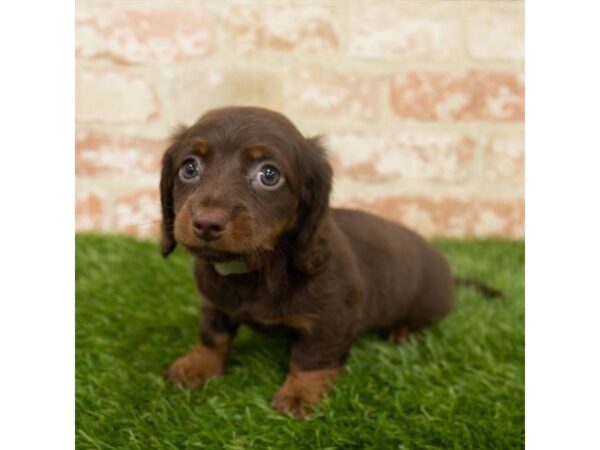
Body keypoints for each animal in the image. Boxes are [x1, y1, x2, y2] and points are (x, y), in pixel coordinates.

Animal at [159, 105, 454, 418]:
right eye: (189, 168)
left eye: (269, 175)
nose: (206, 223)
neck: (257, 270)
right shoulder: (215, 303)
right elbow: (212, 336)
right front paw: (197, 366)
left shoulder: (331, 318)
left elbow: (311, 358)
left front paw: (299, 394)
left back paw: (402, 331)